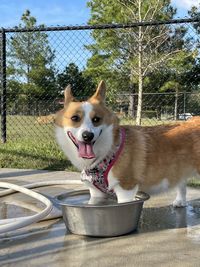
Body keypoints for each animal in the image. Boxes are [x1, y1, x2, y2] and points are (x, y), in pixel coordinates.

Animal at [54, 80, 200, 206]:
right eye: (75, 118)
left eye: (96, 119)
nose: (87, 136)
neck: (108, 150)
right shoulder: (96, 193)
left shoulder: (125, 190)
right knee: (181, 183)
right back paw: (180, 202)